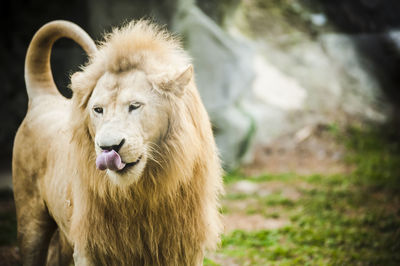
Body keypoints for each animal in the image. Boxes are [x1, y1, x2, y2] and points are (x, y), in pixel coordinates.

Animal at [12, 19, 223, 264]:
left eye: (135, 106)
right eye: (98, 110)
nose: (108, 147)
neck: (142, 190)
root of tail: (44, 98)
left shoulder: (184, 248)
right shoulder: (89, 248)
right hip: (30, 221)